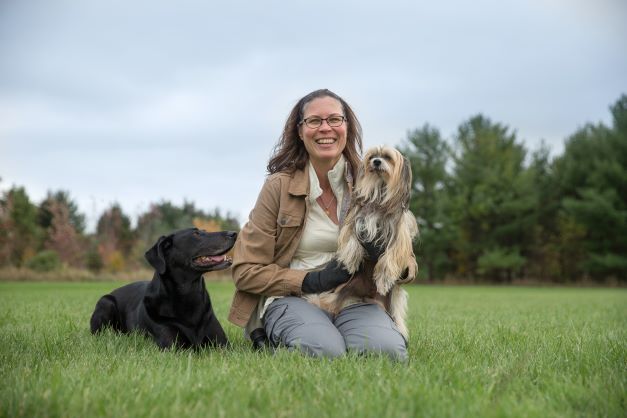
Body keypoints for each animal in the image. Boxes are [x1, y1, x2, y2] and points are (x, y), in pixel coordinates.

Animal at [92, 229, 239, 350]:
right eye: (196, 234)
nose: (234, 233)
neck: (189, 294)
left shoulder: (223, 345)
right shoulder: (173, 347)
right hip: (106, 302)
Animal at [304, 145, 418, 338]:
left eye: (387, 157)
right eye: (372, 156)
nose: (377, 162)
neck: (379, 191)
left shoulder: (399, 237)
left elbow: (391, 257)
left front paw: (383, 278)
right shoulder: (356, 221)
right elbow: (350, 239)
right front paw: (350, 261)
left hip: (394, 297)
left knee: (396, 311)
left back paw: (400, 329)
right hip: (342, 290)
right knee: (329, 301)